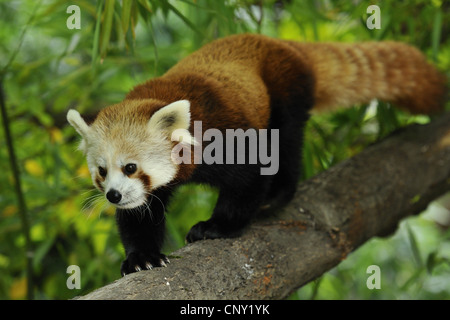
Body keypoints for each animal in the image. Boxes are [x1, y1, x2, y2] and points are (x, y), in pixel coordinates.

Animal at [66, 34, 446, 276]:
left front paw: (217, 226)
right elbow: (141, 214)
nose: (114, 195)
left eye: (131, 167)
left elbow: (250, 175)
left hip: (283, 91)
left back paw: (277, 195)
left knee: (286, 140)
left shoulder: (226, 132)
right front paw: (142, 257)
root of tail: (285, 44)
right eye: (102, 171)